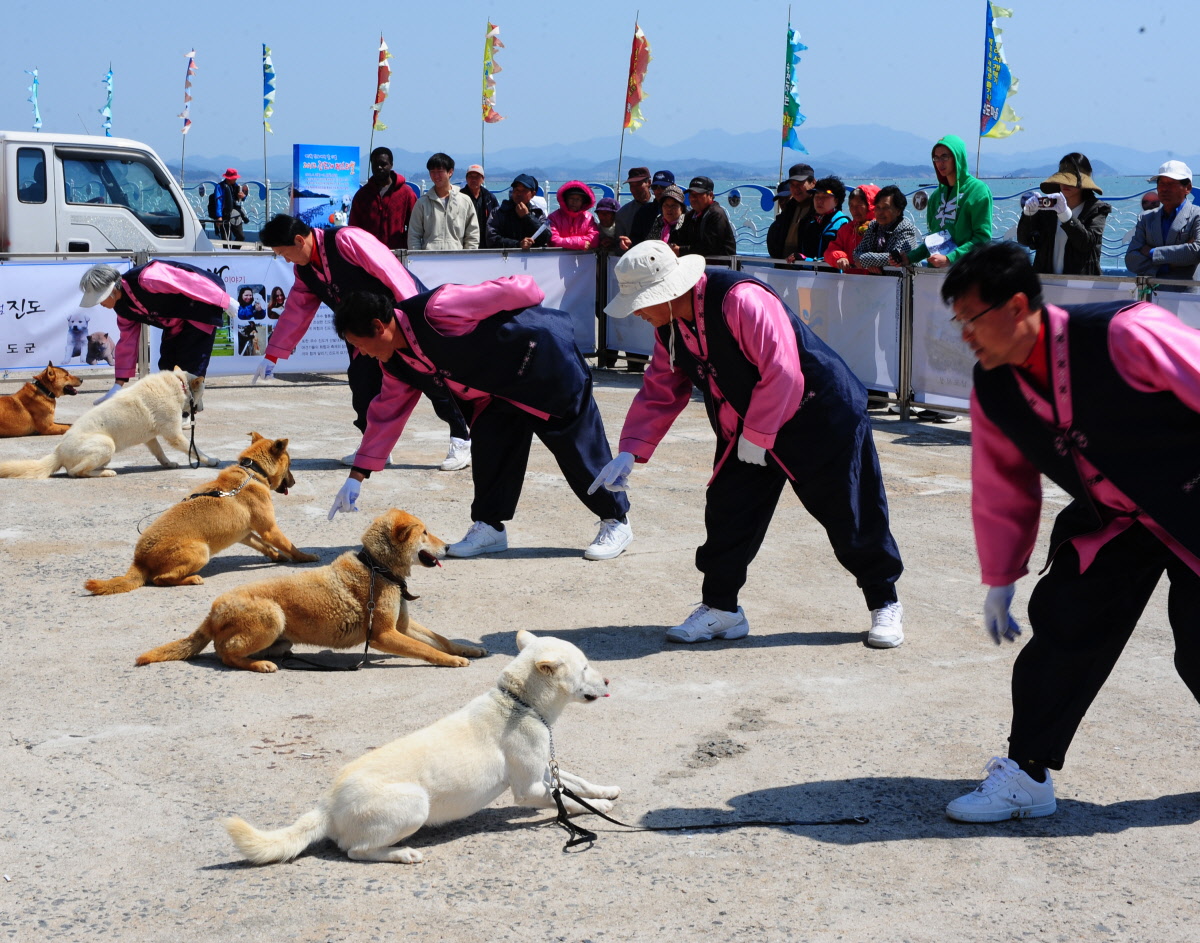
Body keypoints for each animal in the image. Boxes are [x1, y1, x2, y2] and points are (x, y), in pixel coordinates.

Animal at [85, 429, 319, 592]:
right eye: (291, 464)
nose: (295, 482)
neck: (252, 472)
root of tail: (139, 560)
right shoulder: (270, 529)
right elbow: (290, 546)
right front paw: (305, 557)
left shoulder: (245, 534)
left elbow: (265, 546)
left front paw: (276, 556)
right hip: (201, 551)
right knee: (160, 579)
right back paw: (191, 579)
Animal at [133, 506, 484, 667]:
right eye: (424, 532)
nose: (448, 547)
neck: (377, 567)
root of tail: (212, 611)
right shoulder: (384, 634)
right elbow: (427, 650)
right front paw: (451, 661)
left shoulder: (403, 625)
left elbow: (441, 639)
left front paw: (469, 650)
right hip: (272, 616)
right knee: (225, 653)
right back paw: (258, 665)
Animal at [225, 628, 624, 863]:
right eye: (585, 667)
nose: (608, 680)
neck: (519, 703)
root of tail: (326, 806)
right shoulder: (531, 789)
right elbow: (571, 802)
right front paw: (600, 807)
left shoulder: (546, 770)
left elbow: (577, 783)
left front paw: (605, 790)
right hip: (415, 803)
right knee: (356, 851)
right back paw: (401, 854)